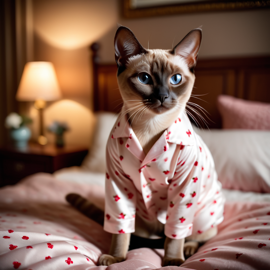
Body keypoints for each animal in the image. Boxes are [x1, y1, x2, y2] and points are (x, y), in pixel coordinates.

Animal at [66, 26, 225, 266]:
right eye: (144, 78)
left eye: (176, 79)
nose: (163, 96)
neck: (149, 127)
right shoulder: (118, 184)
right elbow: (120, 232)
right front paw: (117, 258)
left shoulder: (184, 185)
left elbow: (175, 235)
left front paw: (172, 262)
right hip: (138, 216)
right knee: (138, 233)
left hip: (202, 214)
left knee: (193, 236)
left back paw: (188, 250)